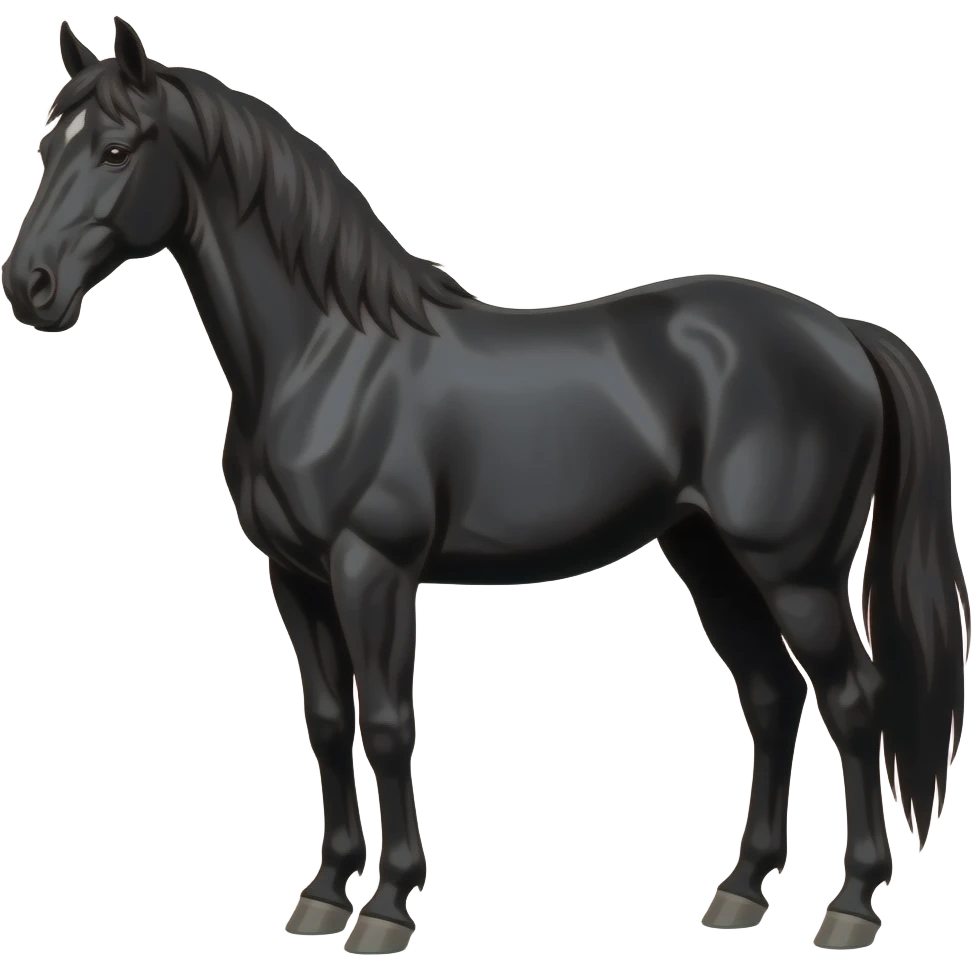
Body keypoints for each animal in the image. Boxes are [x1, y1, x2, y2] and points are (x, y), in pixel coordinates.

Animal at [2, 17, 968, 954]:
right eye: (47, 146)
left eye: (118, 149)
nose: (29, 287)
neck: (325, 355)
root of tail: (842, 333)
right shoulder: (297, 576)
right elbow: (328, 721)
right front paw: (323, 892)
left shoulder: (373, 570)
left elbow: (389, 725)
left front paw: (388, 905)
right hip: (710, 557)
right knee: (772, 698)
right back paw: (739, 890)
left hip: (796, 572)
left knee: (854, 703)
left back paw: (850, 905)